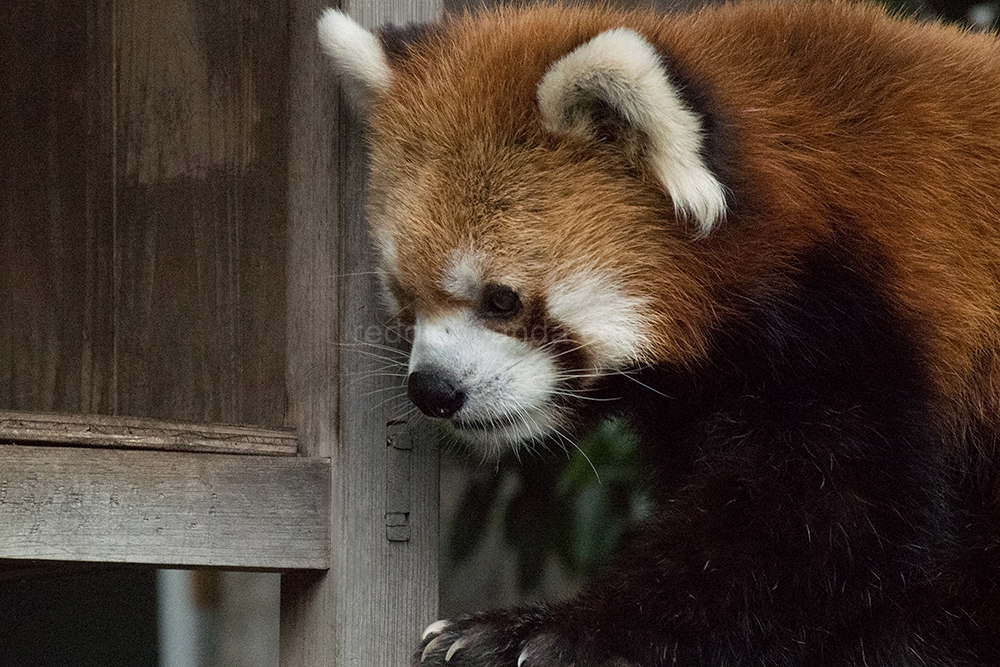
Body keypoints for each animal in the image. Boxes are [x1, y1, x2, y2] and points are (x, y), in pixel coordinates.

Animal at [316, 2, 1000, 664]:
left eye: (501, 299)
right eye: (405, 298)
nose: (432, 390)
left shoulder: (873, 335)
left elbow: (829, 520)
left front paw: (559, 630)